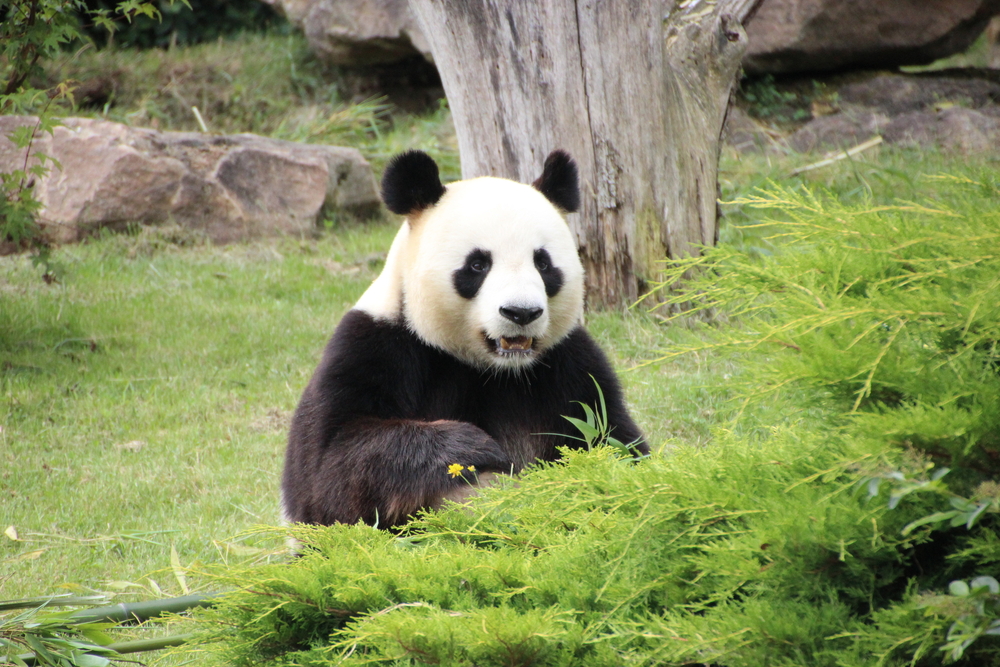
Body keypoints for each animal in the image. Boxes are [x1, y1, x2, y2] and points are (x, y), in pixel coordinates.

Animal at [280, 150, 648, 528]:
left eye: (543, 263)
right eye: (477, 265)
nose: (521, 313)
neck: (495, 369)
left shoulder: (570, 365)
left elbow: (613, 437)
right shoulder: (377, 345)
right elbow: (330, 469)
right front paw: (476, 447)